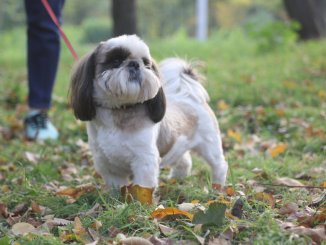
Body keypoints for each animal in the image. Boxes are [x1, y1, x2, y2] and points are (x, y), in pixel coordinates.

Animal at [70, 34, 228, 194]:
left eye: (146, 63)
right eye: (115, 60)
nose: (135, 64)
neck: (121, 109)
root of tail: (189, 96)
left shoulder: (144, 161)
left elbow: (143, 187)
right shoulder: (107, 165)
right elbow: (116, 187)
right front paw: (115, 198)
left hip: (209, 144)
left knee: (219, 165)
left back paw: (217, 188)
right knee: (185, 160)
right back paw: (177, 178)